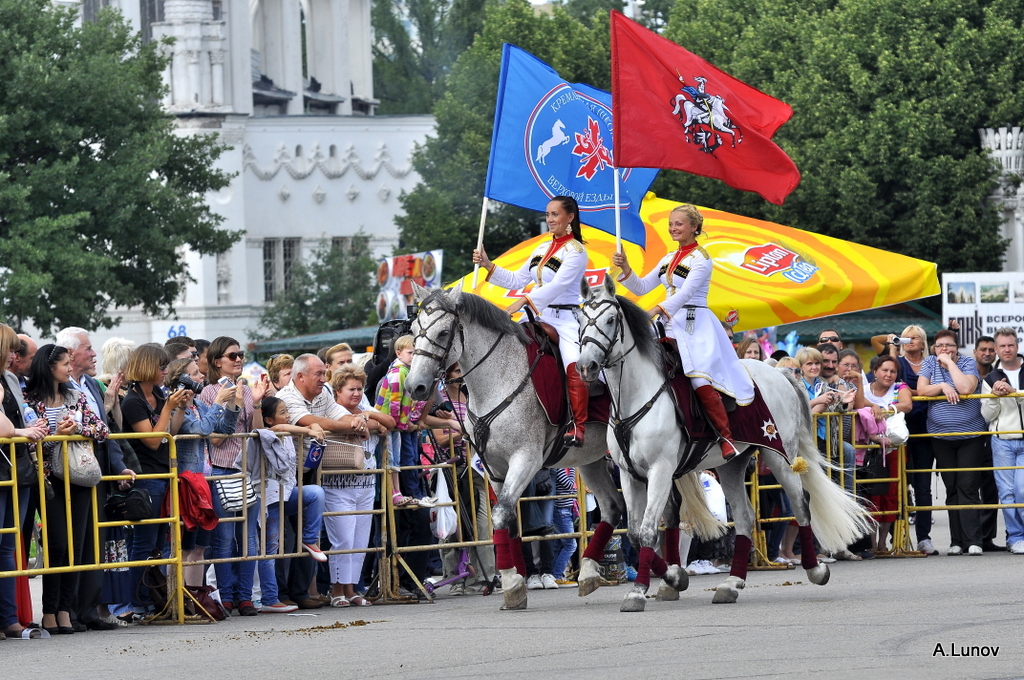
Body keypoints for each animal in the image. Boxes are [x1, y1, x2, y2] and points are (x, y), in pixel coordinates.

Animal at [403, 284, 716, 614]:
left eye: (442, 332)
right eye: (414, 329)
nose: (415, 387)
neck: (502, 378)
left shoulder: (525, 460)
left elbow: (501, 515)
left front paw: (512, 583)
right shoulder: (496, 469)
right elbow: (510, 522)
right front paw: (517, 582)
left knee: (659, 513)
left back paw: (668, 576)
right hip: (594, 461)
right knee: (617, 508)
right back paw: (599, 573)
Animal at [577, 278, 872, 606]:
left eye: (610, 319)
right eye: (579, 318)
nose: (586, 366)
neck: (637, 396)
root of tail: (780, 372)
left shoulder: (660, 471)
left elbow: (648, 531)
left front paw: (639, 591)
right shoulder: (630, 475)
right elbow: (634, 532)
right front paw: (673, 578)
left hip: (779, 456)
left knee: (801, 504)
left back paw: (815, 570)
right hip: (733, 464)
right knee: (744, 516)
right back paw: (731, 583)